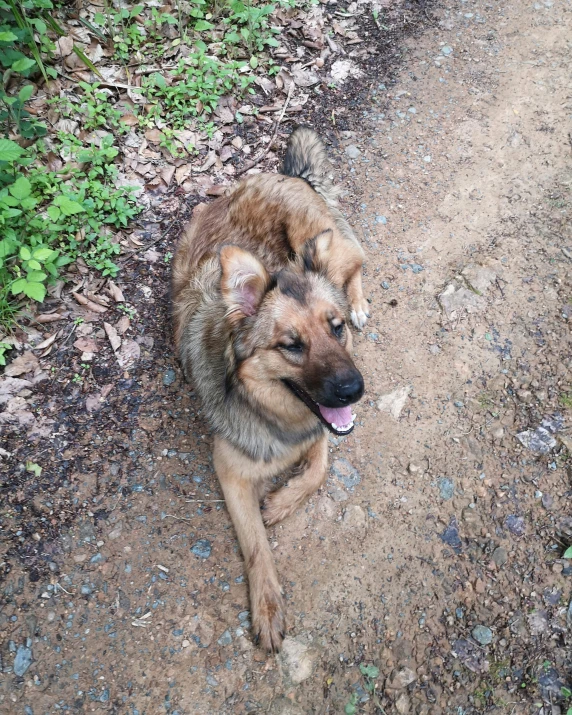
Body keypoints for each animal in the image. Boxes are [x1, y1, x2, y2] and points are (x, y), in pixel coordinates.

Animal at [171, 126, 366, 652]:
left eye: (336, 329)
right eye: (291, 345)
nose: (355, 390)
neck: (278, 415)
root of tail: (286, 175)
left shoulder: (320, 434)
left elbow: (316, 470)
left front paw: (279, 502)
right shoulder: (230, 471)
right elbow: (256, 544)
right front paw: (267, 606)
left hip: (324, 241)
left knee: (356, 261)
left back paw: (361, 300)